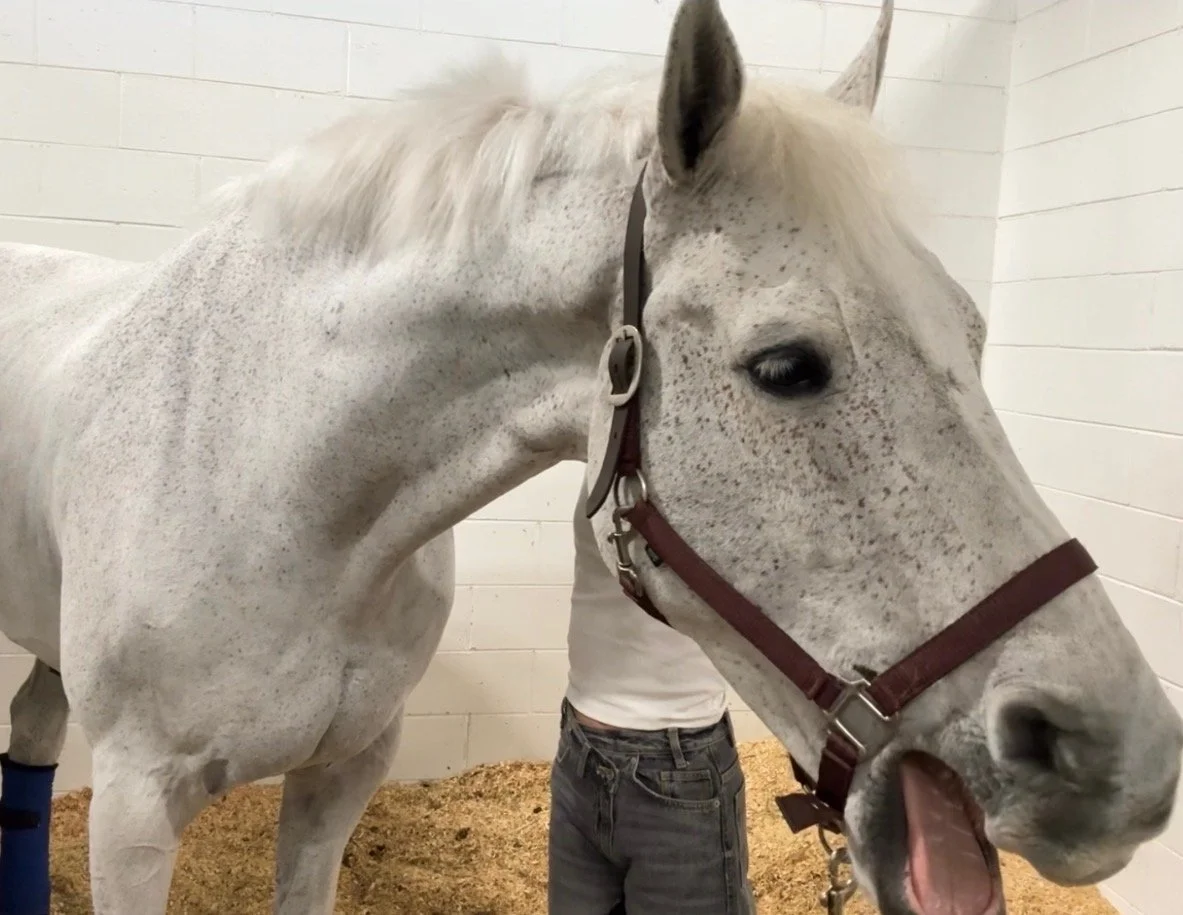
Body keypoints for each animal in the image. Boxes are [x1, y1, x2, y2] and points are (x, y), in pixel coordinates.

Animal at [0, 0, 1179, 912]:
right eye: (786, 365)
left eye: (973, 336)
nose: (1118, 762)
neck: (271, 478)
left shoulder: (347, 767)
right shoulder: (137, 806)